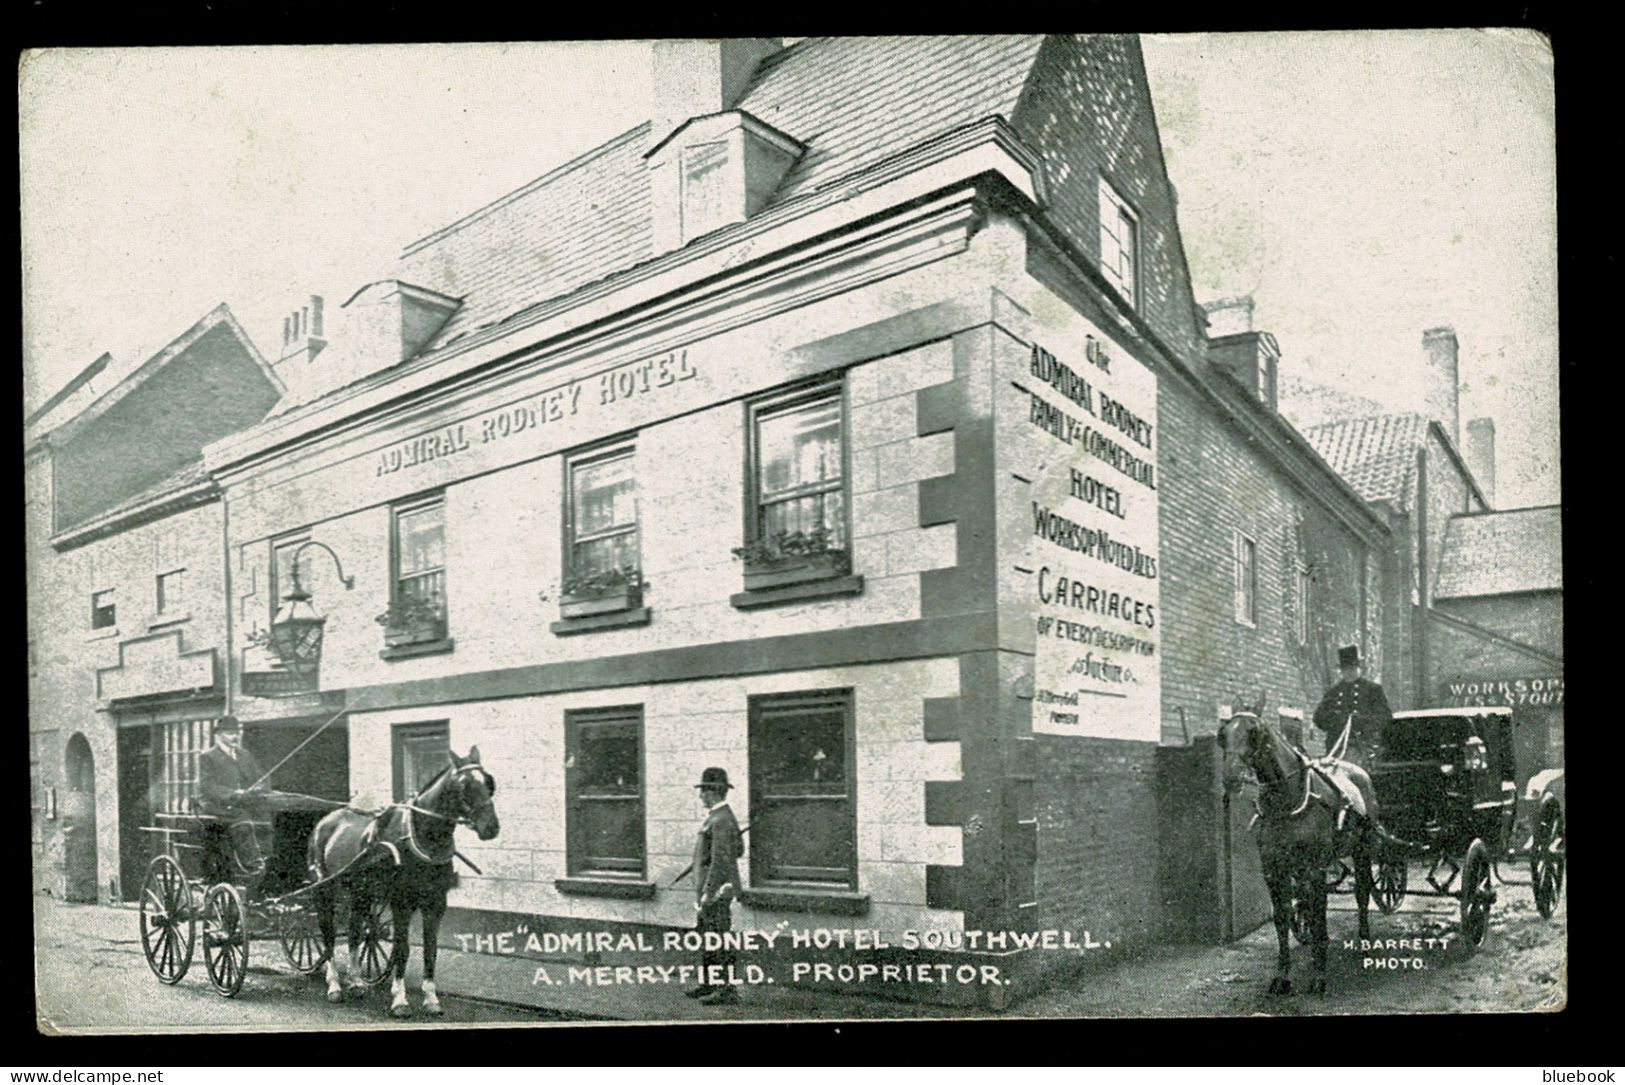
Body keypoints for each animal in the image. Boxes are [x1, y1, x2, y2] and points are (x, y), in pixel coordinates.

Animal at [308, 747, 497, 1020]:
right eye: (464, 785)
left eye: (489, 782)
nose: (491, 827)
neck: (422, 836)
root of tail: (324, 823)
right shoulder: (401, 903)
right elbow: (402, 949)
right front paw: (399, 1000)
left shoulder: (436, 903)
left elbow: (430, 949)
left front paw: (431, 999)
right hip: (323, 891)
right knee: (328, 935)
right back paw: (334, 985)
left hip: (361, 893)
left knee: (354, 931)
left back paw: (357, 982)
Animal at [1222, 695, 1378, 994]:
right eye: (1222, 735)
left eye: (1254, 732)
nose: (1231, 776)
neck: (1288, 799)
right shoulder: (1273, 870)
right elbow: (1282, 918)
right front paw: (1282, 976)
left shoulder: (1316, 868)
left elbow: (1319, 916)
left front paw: (1319, 975)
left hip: (1362, 851)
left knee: (1362, 895)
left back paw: (1365, 944)